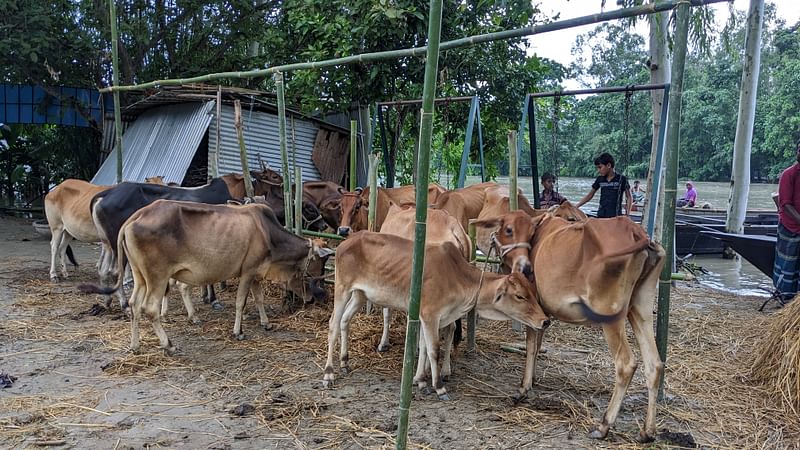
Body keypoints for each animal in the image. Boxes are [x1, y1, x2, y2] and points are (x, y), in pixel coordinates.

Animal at [79, 201, 334, 356]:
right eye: (318, 264)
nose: (314, 298)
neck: (268, 233)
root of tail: (134, 218)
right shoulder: (248, 271)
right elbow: (241, 303)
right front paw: (238, 332)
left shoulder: (256, 274)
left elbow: (259, 299)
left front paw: (266, 323)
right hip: (157, 277)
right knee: (150, 309)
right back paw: (168, 345)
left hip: (141, 276)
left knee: (134, 305)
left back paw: (135, 346)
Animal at [320, 234, 552, 400]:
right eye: (520, 295)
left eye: (532, 293)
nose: (545, 321)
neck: (457, 277)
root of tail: (345, 242)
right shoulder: (430, 314)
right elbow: (433, 349)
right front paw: (438, 386)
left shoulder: (430, 317)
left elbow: (423, 347)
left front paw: (420, 380)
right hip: (342, 288)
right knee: (333, 325)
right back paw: (329, 373)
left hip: (360, 294)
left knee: (345, 321)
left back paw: (345, 362)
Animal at [482, 212, 668, 442]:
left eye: (509, 230)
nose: (525, 268)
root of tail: (638, 233)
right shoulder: (543, 313)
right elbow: (538, 342)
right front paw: (532, 379)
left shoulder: (532, 307)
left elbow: (531, 345)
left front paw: (523, 388)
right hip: (640, 307)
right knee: (654, 364)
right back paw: (647, 431)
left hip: (610, 314)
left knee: (626, 364)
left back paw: (603, 425)